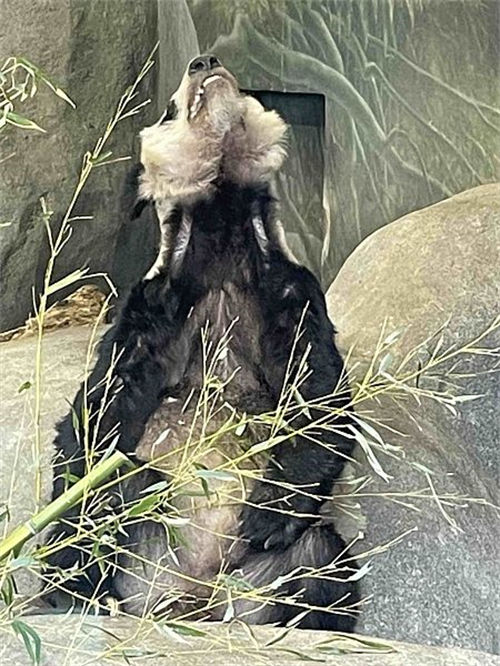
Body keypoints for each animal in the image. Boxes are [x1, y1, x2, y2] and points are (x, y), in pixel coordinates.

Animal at [47, 53, 360, 628]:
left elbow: (320, 398)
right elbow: (99, 414)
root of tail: (190, 601)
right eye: (169, 110)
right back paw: (78, 590)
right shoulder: (155, 307)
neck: (221, 225)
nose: (204, 61)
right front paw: (71, 530)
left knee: (321, 565)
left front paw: (266, 516)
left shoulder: (288, 291)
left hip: (266, 575)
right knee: (127, 498)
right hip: (142, 544)